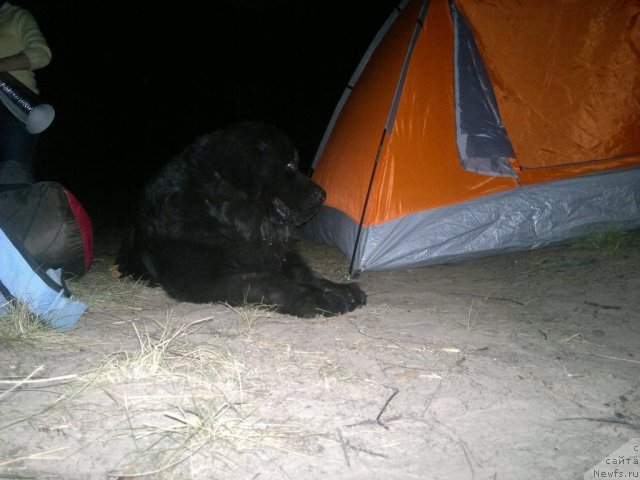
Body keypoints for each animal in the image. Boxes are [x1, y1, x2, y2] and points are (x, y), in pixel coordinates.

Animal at [115, 122, 364, 316]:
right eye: (290, 164)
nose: (323, 195)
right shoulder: (205, 275)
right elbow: (268, 282)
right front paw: (319, 298)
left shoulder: (275, 253)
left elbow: (306, 273)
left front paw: (340, 288)